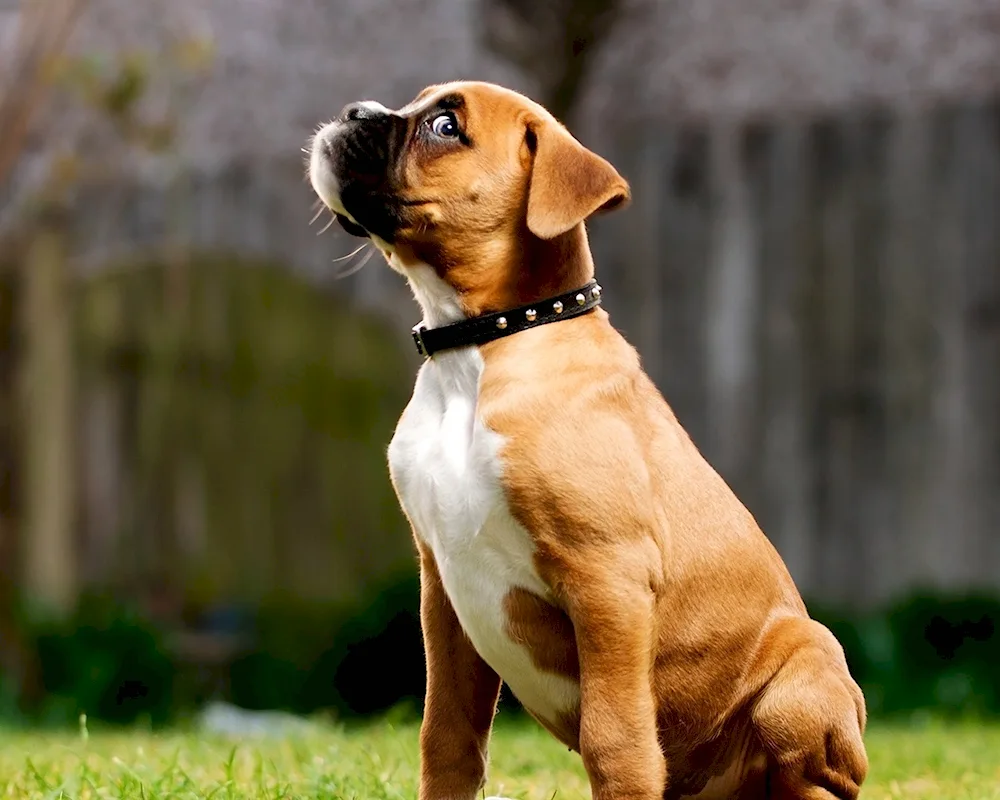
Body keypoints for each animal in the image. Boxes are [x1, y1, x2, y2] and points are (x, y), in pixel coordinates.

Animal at [306, 81, 868, 800]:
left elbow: (617, 741)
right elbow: (448, 740)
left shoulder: (608, 580)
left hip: (803, 673)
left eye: (445, 126)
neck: (482, 347)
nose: (354, 111)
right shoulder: (445, 589)